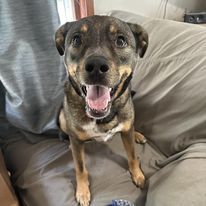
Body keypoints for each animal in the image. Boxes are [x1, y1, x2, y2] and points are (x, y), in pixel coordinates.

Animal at [54, 15, 148, 205]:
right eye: (76, 39)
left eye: (120, 40)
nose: (96, 66)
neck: (102, 116)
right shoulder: (77, 143)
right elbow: (80, 168)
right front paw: (82, 192)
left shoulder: (126, 129)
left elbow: (132, 155)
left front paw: (138, 174)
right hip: (61, 117)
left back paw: (138, 134)